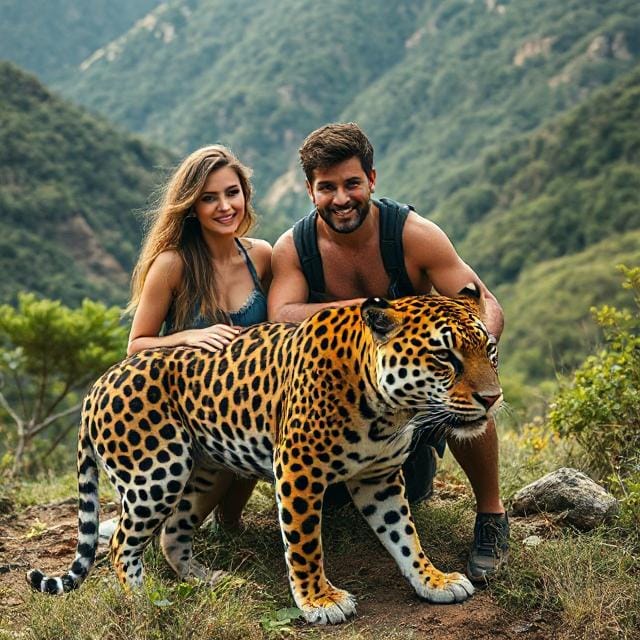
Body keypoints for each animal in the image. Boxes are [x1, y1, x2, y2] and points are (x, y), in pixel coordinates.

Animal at [27, 286, 502, 625]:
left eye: (490, 350)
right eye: (445, 356)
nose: (492, 398)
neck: (390, 409)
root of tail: (97, 385)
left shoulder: (379, 477)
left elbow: (404, 535)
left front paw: (432, 580)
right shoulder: (298, 469)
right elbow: (305, 543)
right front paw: (319, 601)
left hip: (202, 472)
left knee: (172, 532)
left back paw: (204, 578)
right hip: (156, 473)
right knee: (121, 542)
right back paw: (146, 601)